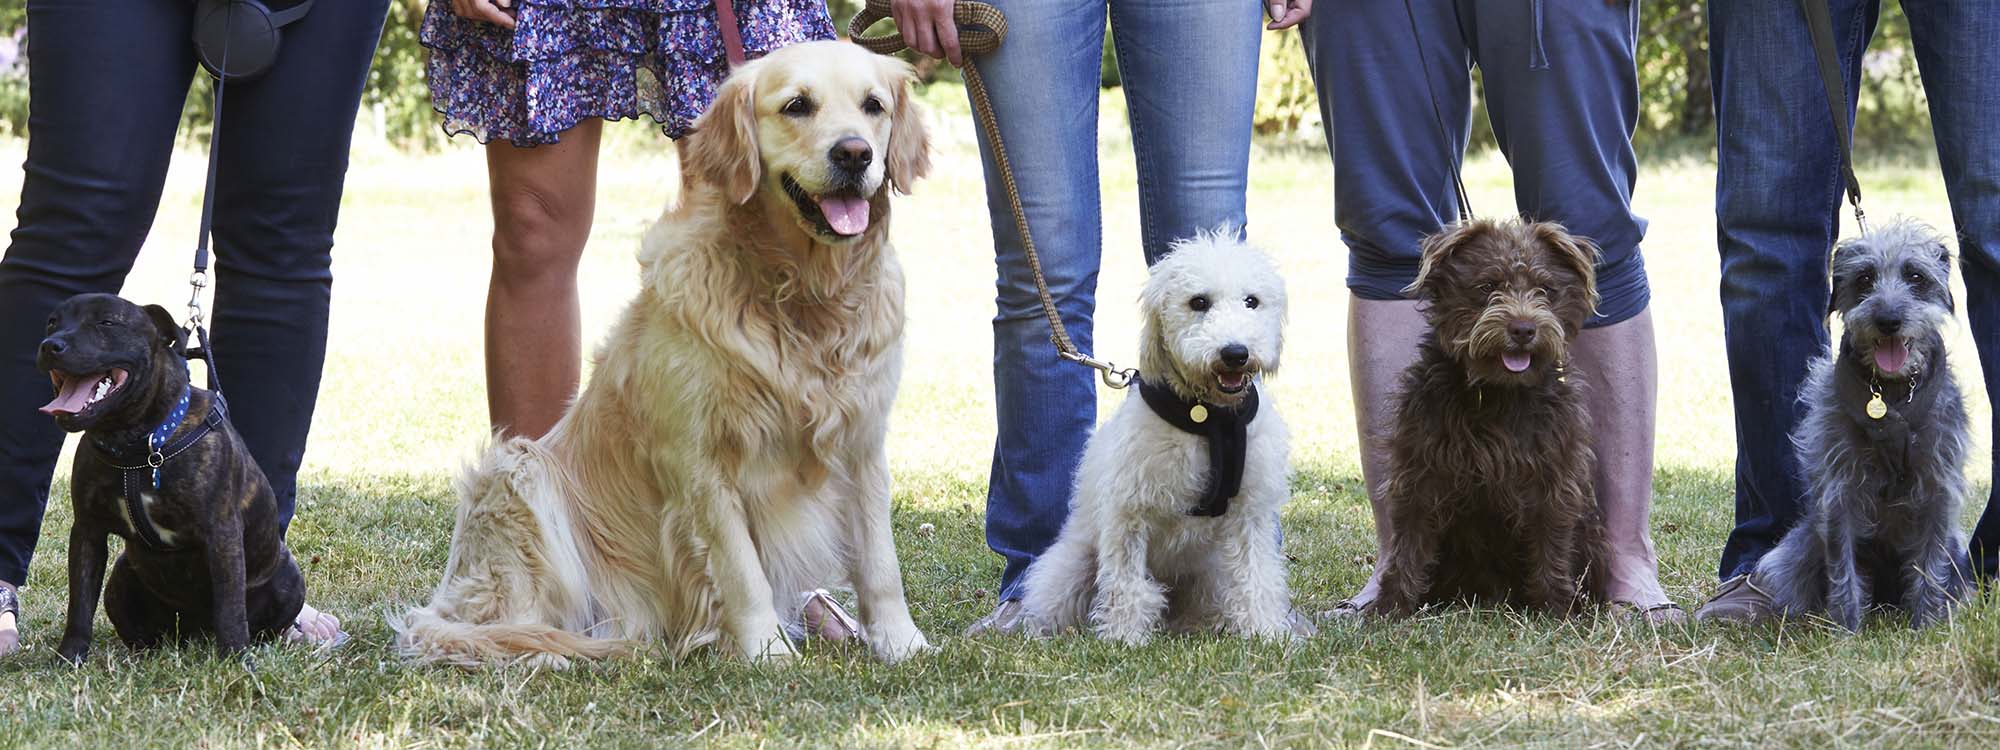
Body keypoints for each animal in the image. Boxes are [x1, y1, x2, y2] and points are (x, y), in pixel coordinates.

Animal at [38, 294, 300, 664]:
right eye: (52, 322)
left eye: (106, 322)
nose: (51, 345)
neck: (139, 444)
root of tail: (197, 632)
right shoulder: (88, 531)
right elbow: (80, 602)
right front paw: (69, 657)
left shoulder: (222, 534)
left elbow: (230, 607)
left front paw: (235, 658)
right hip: (120, 579)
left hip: (290, 578)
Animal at [1024, 232, 1304, 644]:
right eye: (1198, 302)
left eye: (1251, 301)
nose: (1235, 353)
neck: (1207, 418)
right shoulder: (1129, 512)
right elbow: (1127, 585)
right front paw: (1124, 638)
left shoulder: (1250, 513)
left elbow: (1257, 576)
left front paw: (1265, 632)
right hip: (1070, 567)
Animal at [1376, 217, 1608, 616]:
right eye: (1487, 286)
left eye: (1546, 290)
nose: (1523, 329)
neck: (1498, 393)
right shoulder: (1420, 469)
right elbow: (1408, 542)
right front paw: (1390, 608)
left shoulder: (1554, 475)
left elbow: (1551, 541)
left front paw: (1557, 609)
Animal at [1760, 220, 1976, 632]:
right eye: (1864, 278)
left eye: (1915, 276)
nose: (1888, 320)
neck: (1891, 393)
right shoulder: (1840, 490)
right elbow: (1842, 564)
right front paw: (1846, 629)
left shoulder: (1938, 487)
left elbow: (1930, 563)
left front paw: (1925, 624)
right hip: (1795, 551)